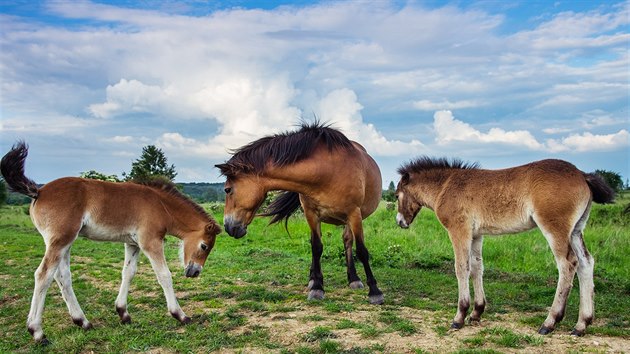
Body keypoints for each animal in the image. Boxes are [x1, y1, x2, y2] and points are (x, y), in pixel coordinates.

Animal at [0, 141, 222, 342]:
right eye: (204, 246)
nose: (194, 272)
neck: (161, 205)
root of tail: (39, 191)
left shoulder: (133, 243)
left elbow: (128, 272)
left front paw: (123, 313)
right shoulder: (150, 241)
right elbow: (164, 275)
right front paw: (180, 315)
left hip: (64, 242)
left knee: (62, 276)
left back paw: (83, 322)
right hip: (60, 240)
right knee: (43, 275)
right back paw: (37, 332)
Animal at [217, 121, 386, 304]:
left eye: (227, 190)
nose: (228, 227)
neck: (327, 171)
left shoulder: (354, 214)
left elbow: (361, 251)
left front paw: (375, 291)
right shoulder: (311, 214)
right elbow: (316, 247)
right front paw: (317, 287)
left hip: (349, 219)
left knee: (347, 240)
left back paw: (353, 278)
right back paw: (315, 279)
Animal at [398, 156, 616, 336]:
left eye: (397, 195)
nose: (400, 222)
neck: (446, 186)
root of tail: (582, 175)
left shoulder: (459, 230)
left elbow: (461, 268)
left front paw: (459, 317)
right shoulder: (476, 235)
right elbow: (477, 267)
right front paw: (476, 312)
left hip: (555, 228)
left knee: (567, 264)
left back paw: (550, 322)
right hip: (576, 230)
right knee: (586, 263)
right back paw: (582, 324)